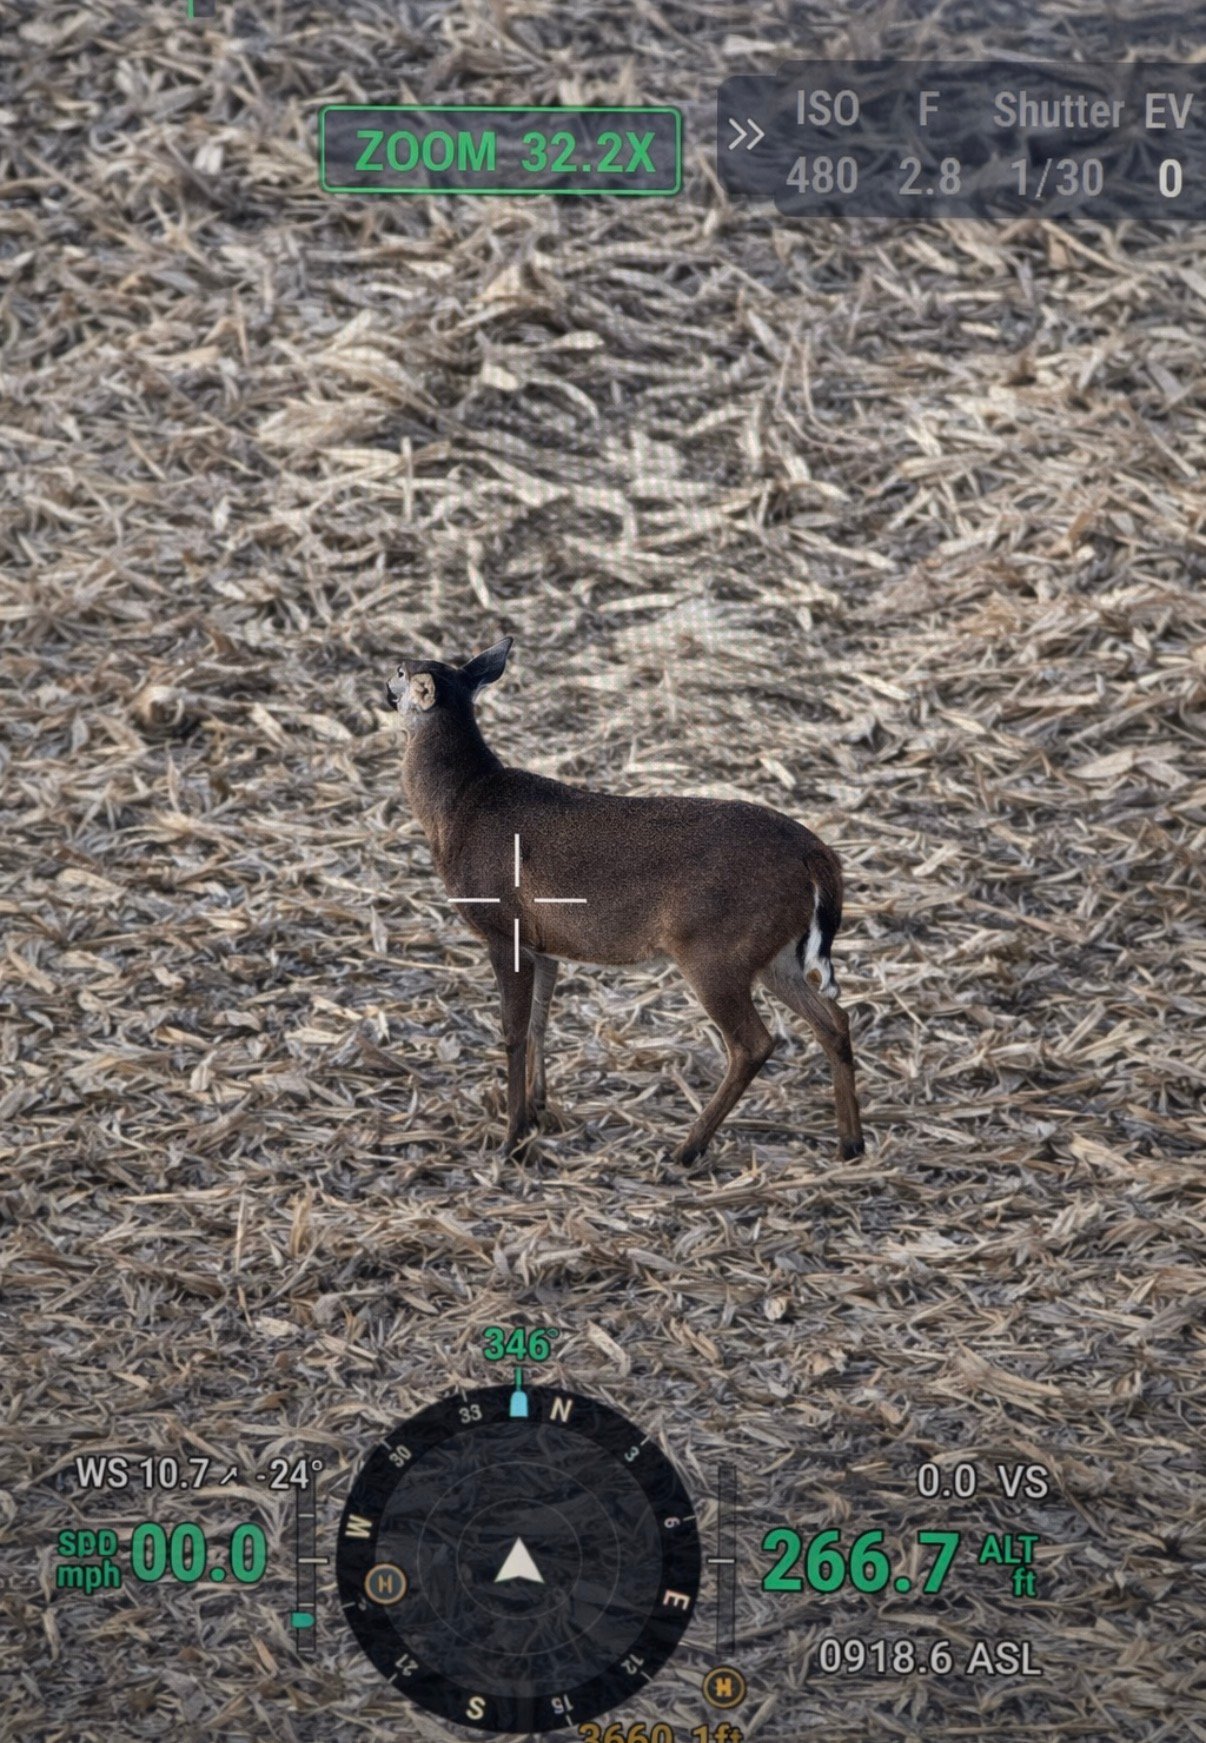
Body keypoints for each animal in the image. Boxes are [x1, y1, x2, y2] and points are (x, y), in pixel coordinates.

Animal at [384, 638, 864, 1166]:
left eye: (401, 671)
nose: (385, 686)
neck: (458, 809)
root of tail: (816, 856)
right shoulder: (543, 942)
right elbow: (539, 1021)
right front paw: (537, 1108)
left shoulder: (503, 927)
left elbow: (512, 1030)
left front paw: (511, 1138)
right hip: (774, 953)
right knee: (834, 1020)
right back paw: (850, 1144)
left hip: (714, 949)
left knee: (754, 1042)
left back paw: (686, 1149)